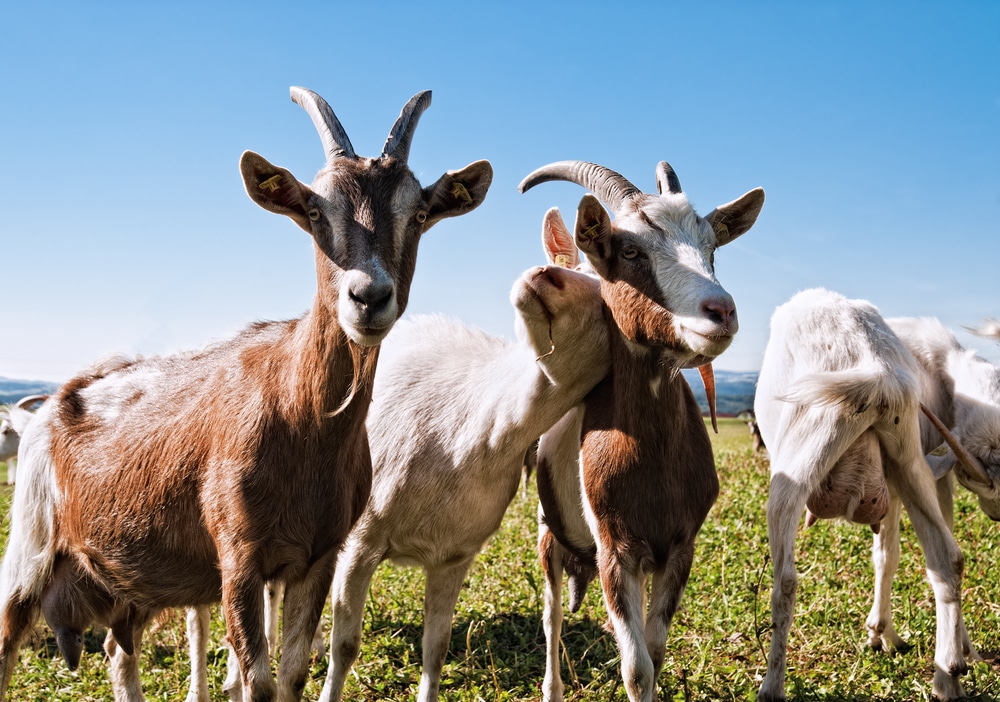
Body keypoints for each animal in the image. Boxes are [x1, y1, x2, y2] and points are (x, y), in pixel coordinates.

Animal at [0, 88, 492, 702]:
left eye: (419, 214)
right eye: (315, 212)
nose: (369, 297)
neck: (299, 418)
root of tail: (60, 399)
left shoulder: (319, 555)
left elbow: (293, 672)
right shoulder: (237, 557)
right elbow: (257, 681)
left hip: (133, 574)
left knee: (117, 648)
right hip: (30, 542)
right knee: (9, 638)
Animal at [520, 161, 760, 702]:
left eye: (712, 248)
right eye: (630, 251)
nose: (721, 311)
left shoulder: (680, 545)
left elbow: (655, 650)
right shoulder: (615, 550)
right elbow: (636, 667)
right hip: (548, 532)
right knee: (552, 616)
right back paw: (552, 687)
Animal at [752, 288, 980, 700]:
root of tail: (876, 372)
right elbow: (887, 555)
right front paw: (884, 636)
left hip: (799, 459)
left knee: (786, 583)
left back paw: (772, 685)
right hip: (908, 456)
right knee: (947, 558)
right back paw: (948, 676)